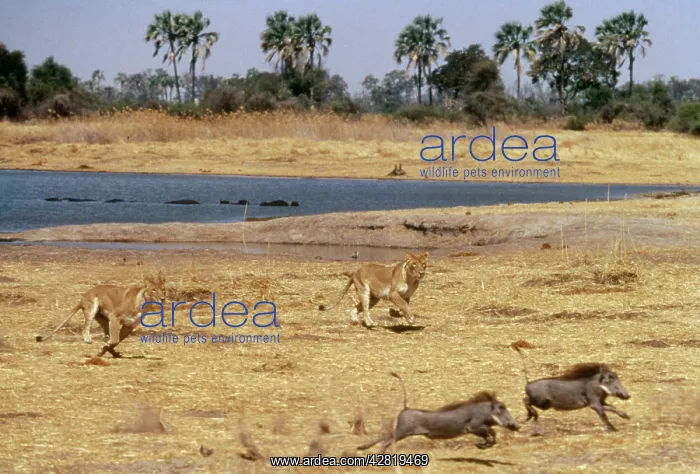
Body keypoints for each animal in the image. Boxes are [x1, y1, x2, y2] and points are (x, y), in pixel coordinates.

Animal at [36, 273, 167, 357]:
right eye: (154, 290)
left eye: (163, 289)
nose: (163, 298)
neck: (145, 304)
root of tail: (84, 296)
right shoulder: (115, 317)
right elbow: (115, 339)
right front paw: (104, 349)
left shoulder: (129, 326)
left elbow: (116, 341)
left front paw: (104, 350)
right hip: (92, 308)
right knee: (85, 328)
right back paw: (88, 339)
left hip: (104, 320)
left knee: (106, 335)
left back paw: (112, 351)